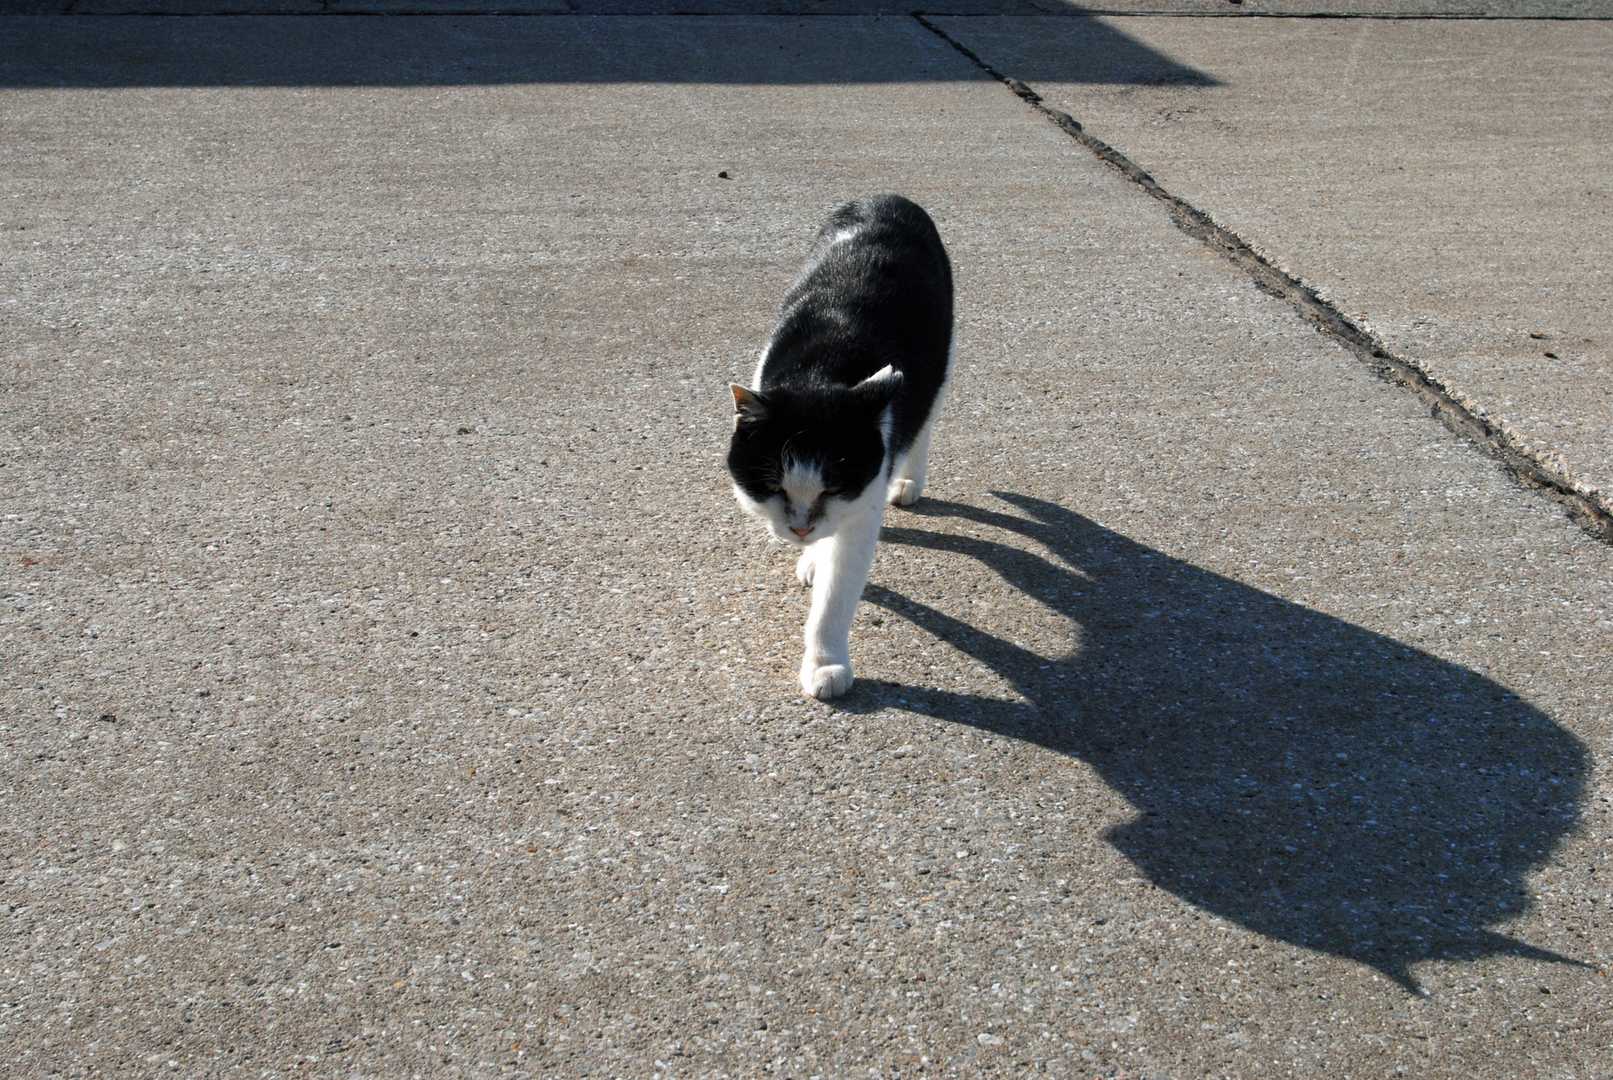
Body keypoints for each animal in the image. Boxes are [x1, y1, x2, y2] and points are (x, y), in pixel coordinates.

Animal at [727, 194, 954, 700]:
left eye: (833, 487)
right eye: (773, 487)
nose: (800, 529)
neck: (821, 372)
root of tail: (887, 196)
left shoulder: (862, 502)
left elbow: (837, 595)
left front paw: (825, 663)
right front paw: (813, 556)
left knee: (926, 418)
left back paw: (909, 480)